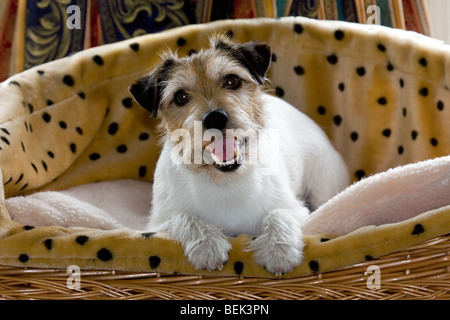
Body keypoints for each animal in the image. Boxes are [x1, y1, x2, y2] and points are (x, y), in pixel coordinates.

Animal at [128, 35, 350, 276]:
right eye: (180, 96)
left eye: (232, 81)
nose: (215, 118)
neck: (224, 182)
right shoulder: (157, 224)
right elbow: (185, 218)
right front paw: (207, 245)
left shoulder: (297, 210)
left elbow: (278, 214)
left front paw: (279, 249)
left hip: (323, 189)